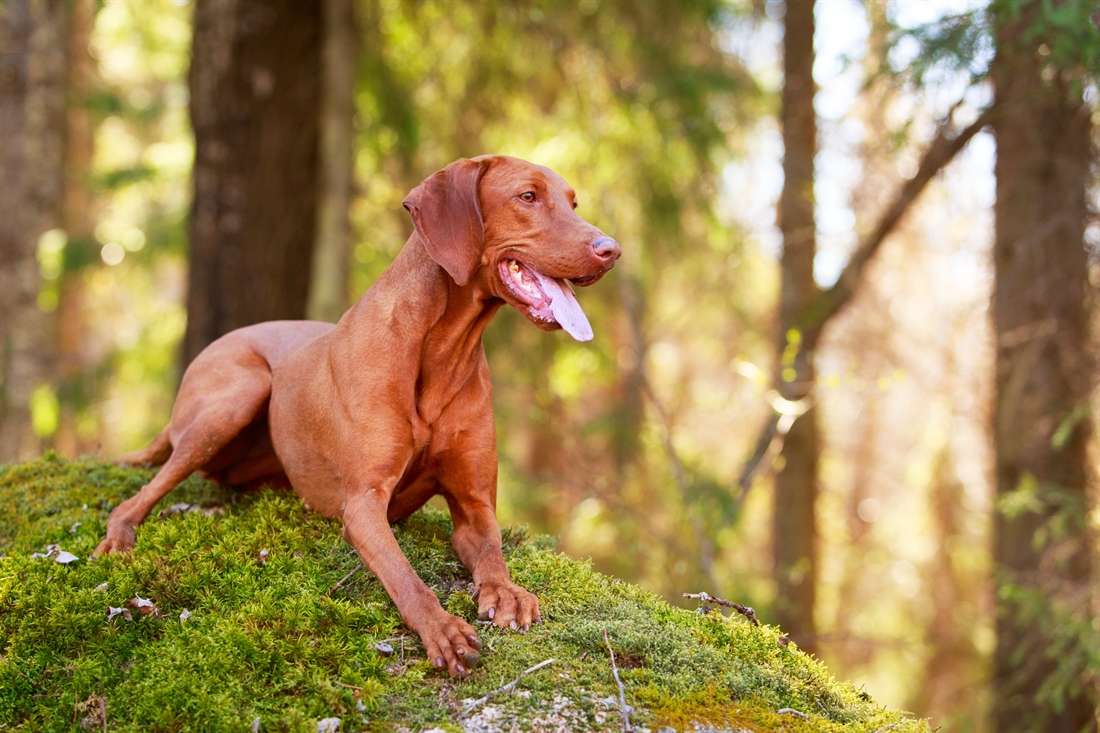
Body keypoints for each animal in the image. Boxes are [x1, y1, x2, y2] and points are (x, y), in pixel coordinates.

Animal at [94, 157, 620, 677]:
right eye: (527, 196)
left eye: (573, 203)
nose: (612, 250)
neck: (441, 349)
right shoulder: (365, 503)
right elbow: (404, 575)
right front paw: (442, 629)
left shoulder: (473, 502)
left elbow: (491, 549)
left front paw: (506, 592)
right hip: (238, 395)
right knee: (135, 499)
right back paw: (119, 539)